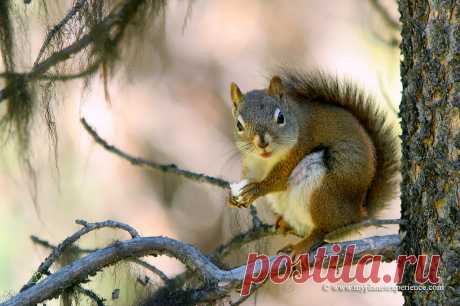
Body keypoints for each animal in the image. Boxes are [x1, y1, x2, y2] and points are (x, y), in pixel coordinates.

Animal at [228, 68, 400, 256]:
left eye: (280, 118)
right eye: (238, 125)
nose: (262, 143)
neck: (267, 160)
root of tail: (357, 215)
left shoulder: (301, 146)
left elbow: (279, 179)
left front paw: (257, 189)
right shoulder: (252, 163)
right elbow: (249, 175)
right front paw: (233, 197)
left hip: (323, 192)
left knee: (324, 230)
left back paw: (304, 245)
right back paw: (286, 224)